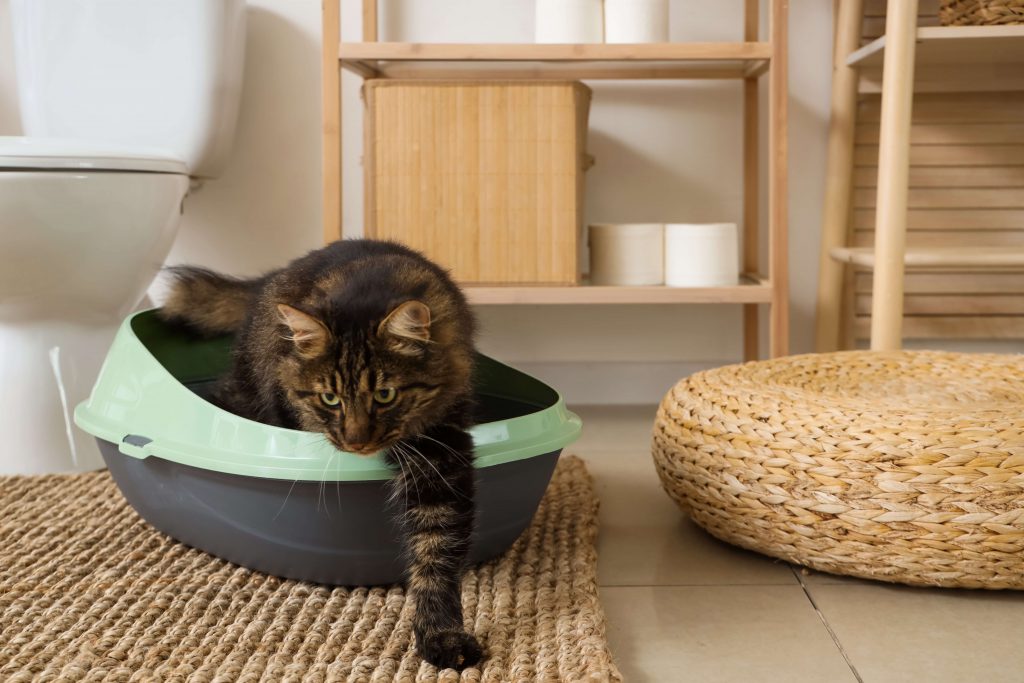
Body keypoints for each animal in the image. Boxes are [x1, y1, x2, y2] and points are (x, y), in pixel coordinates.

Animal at [160, 239, 483, 670]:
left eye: (385, 395)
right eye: (330, 398)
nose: (356, 440)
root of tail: (269, 279)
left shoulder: (440, 450)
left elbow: (437, 554)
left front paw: (441, 635)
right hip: (247, 388)